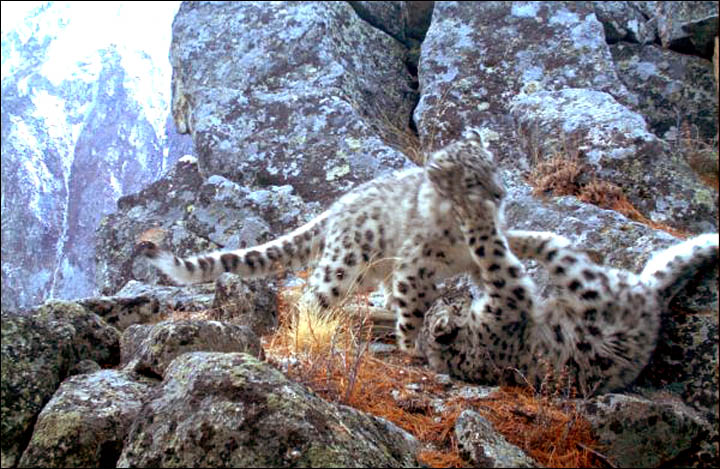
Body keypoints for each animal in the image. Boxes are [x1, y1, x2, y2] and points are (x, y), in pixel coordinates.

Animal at [136, 126, 506, 352]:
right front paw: (416, 345)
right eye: (472, 181)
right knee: (313, 297)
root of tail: (339, 204)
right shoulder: (415, 267)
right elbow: (415, 306)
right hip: (347, 264)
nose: (501, 194)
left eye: (494, 166)